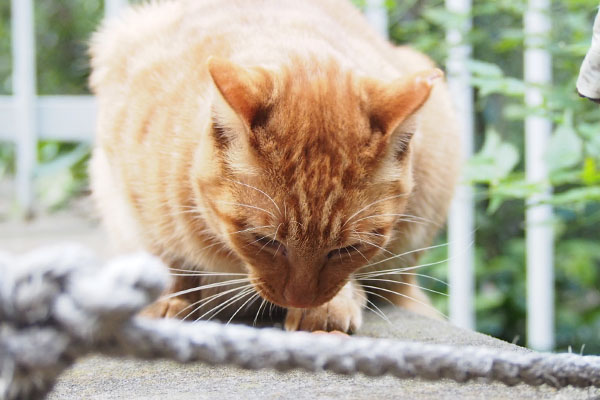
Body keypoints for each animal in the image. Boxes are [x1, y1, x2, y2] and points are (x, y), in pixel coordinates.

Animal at [89, 0, 462, 332]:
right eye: (264, 240)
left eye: (348, 249)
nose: (301, 299)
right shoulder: (130, 197)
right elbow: (163, 254)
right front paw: (167, 298)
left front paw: (328, 308)